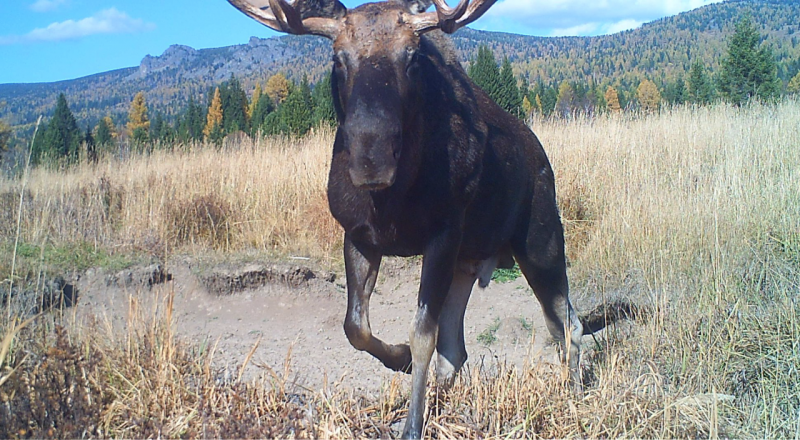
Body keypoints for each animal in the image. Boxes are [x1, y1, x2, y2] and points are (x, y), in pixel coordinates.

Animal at [230, 0, 588, 436]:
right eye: (337, 58)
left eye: (412, 57)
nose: (372, 157)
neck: (392, 201)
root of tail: (541, 156)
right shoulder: (359, 236)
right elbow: (356, 327)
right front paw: (398, 359)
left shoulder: (443, 234)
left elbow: (422, 335)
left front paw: (412, 426)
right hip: (468, 263)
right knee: (457, 347)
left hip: (540, 240)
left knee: (566, 323)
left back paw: (574, 393)